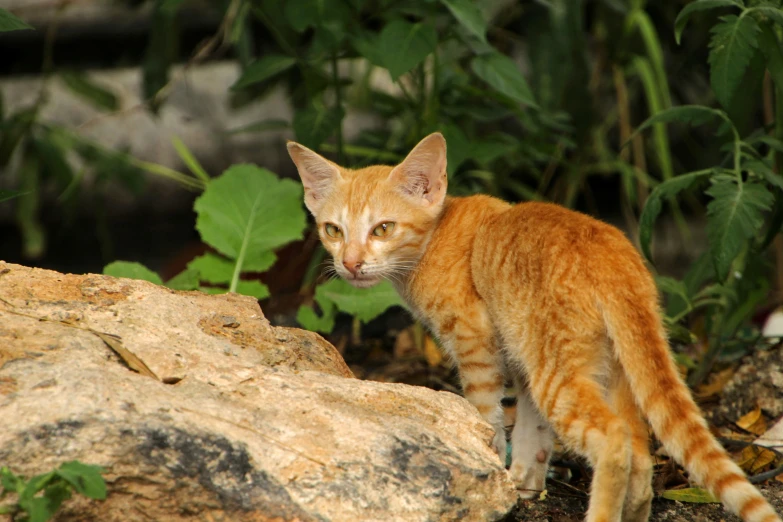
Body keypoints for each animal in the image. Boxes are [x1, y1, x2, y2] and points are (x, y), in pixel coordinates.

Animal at [290, 131, 783, 520]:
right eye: (333, 230)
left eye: (383, 229)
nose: (351, 263)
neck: (436, 240)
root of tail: (615, 254)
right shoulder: (520, 360)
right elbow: (532, 432)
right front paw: (522, 483)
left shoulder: (477, 346)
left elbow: (487, 417)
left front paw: (489, 471)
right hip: (612, 367)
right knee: (640, 452)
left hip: (558, 372)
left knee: (614, 439)